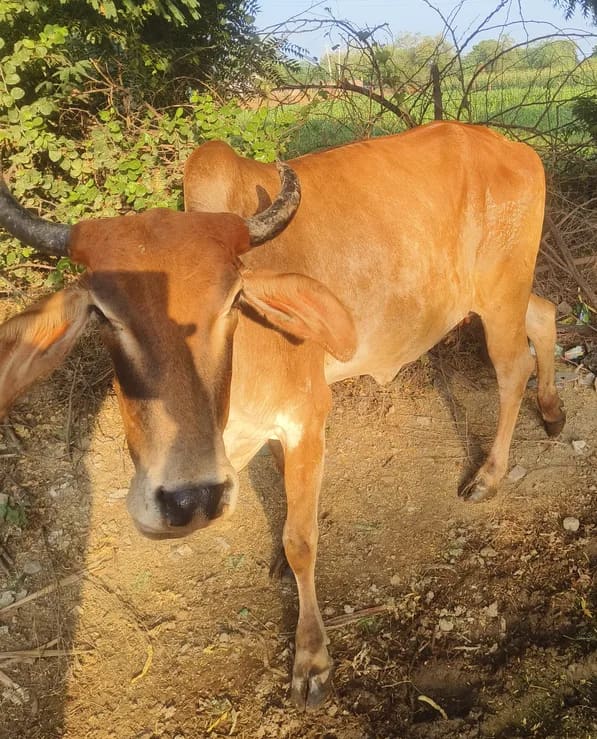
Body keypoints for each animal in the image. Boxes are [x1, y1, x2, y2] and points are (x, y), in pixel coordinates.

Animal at [0, 121, 565, 710]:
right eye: (104, 314)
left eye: (231, 300)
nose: (188, 498)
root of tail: (512, 148)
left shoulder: (307, 417)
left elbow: (301, 538)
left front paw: (311, 661)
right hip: (500, 296)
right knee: (545, 315)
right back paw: (551, 412)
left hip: (499, 297)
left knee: (514, 368)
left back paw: (490, 475)